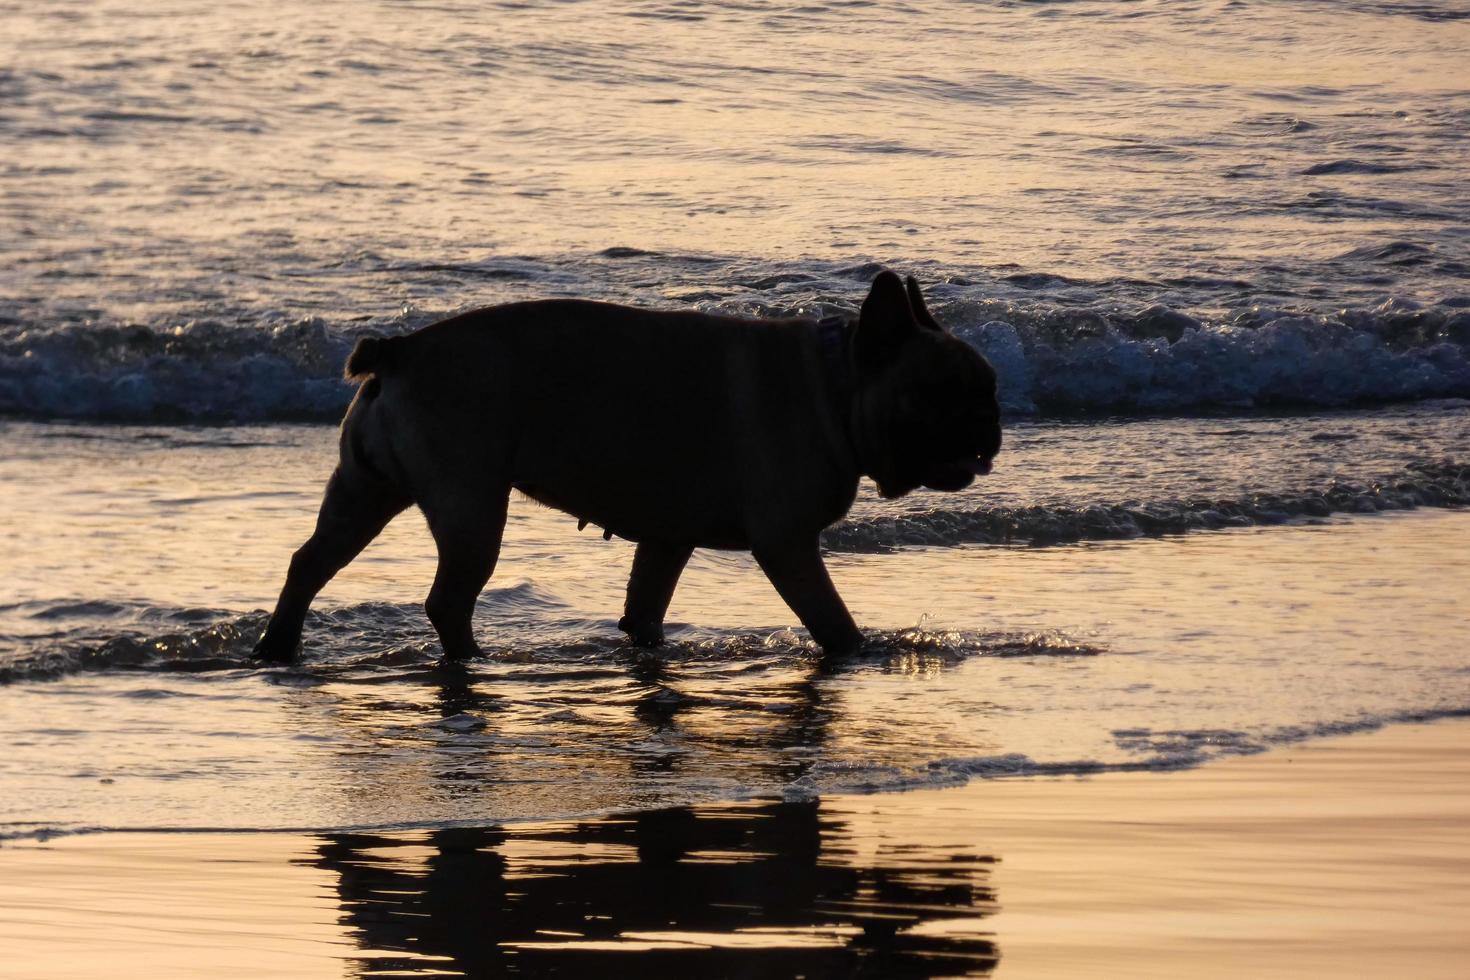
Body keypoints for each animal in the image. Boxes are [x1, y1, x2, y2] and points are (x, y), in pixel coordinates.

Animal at [255, 271, 999, 664]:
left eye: (986, 385)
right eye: (943, 391)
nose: (992, 420)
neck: (837, 385)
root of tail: (401, 350)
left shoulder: (667, 541)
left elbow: (646, 606)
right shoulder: (788, 546)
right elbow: (832, 620)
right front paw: (859, 654)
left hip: (363, 494)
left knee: (309, 563)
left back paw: (278, 647)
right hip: (471, 508)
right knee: (447, 599)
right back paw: (472, 659)